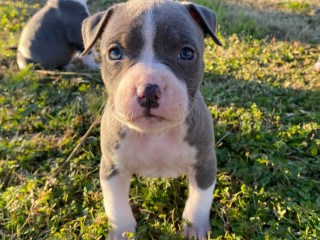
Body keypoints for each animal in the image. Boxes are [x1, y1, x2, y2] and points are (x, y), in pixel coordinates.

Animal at [81, 0, 221, 240]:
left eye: (187, 53)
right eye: (115, 53)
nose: (148, 91)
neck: (155, 134)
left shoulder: (204, 163)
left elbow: (199, 200)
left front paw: (195, 228)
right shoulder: (112, 168)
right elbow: (116, 206)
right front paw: (122, 232)